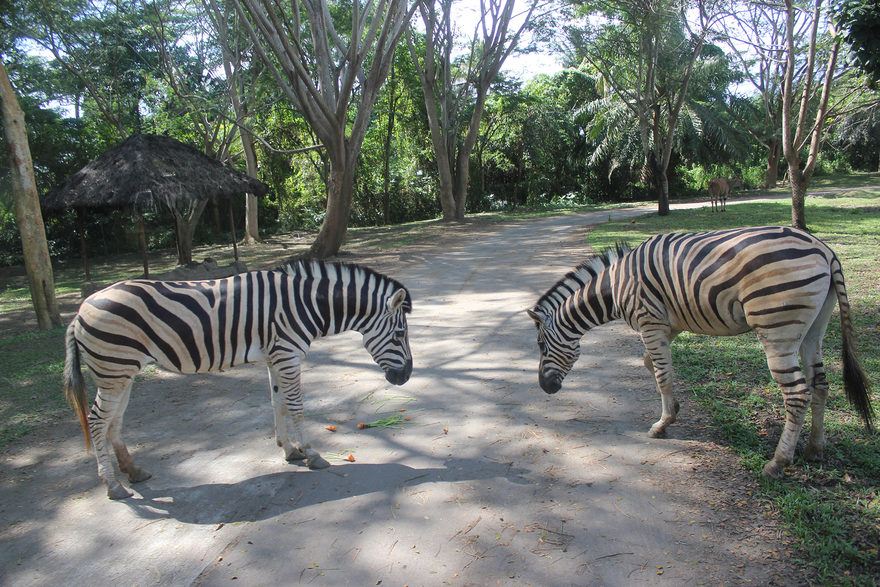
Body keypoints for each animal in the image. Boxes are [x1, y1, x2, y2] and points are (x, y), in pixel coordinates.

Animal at [63, 260, 414, 498]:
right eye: (400, 334)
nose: (407, 376)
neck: (305, 304)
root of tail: (80, 310)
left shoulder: (275, 357)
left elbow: (277, 403)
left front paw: (289, 450)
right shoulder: (287, 355)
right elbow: (296, 407)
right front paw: (312, 454)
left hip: (121, 372)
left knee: (114, 420)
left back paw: (133, 471)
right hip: (114, 369)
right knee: (97, 421)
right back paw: (112, 485)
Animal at [528, 225, 872, 478]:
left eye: (541, 345)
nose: (545, 388)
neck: (614, 287)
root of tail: (825, 250)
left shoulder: (650, 322)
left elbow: (662, 374)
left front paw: (662, 425)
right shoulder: (669, 323)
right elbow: (651, 364)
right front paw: (674, 408)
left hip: (778, 326)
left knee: (798, 393)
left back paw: (777, 462)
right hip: (815, 325)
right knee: (820, 383)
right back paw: (815, 448)